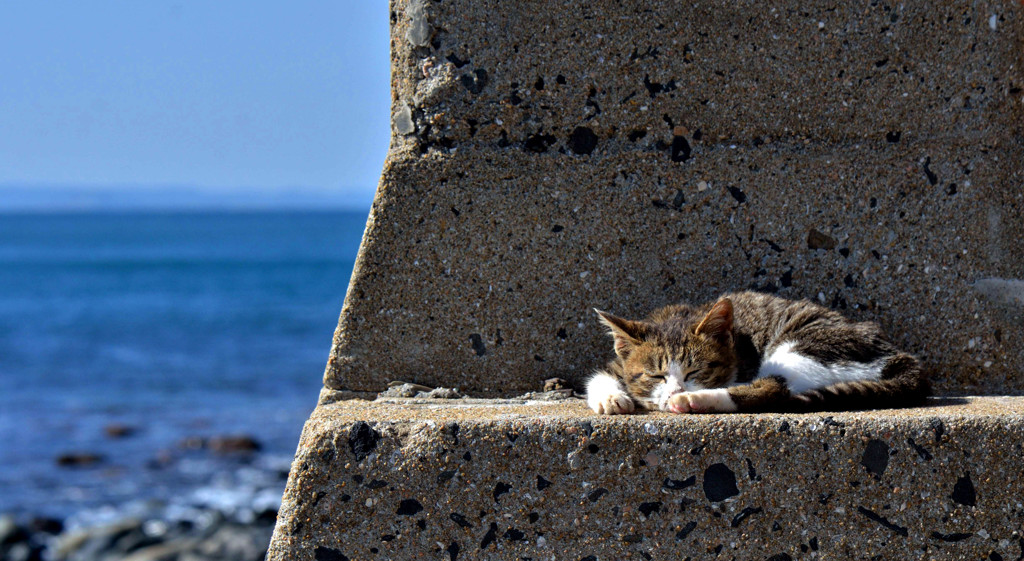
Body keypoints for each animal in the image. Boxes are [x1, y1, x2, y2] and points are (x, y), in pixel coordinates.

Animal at [585, 290, 929, 413]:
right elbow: (600, 374)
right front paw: (610, 397)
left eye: (696, 370)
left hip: (805, 345)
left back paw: (694, 400)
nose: (676, 389)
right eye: (656, 375)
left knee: (774, 387)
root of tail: (897, 355)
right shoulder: (619, 363)